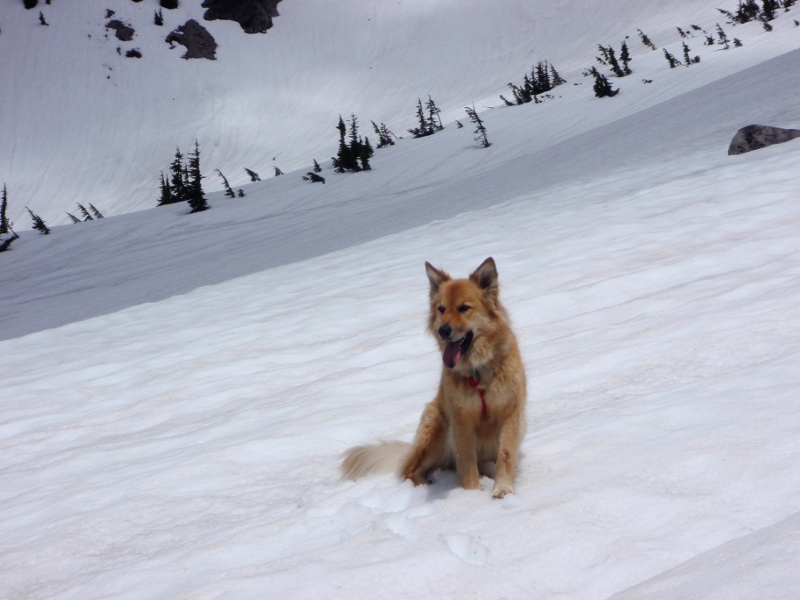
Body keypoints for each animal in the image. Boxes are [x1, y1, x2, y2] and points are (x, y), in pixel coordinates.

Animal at [340, 258, 528, 496]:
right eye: (441, 309)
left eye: (464, 308)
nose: (443, 330)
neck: (477, 372)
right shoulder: (461, 420)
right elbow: (467, 461)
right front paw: (471, 494)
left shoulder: (509, 413)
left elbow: (505, 454)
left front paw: (502, 489)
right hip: (436, 424)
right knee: (411, 470)